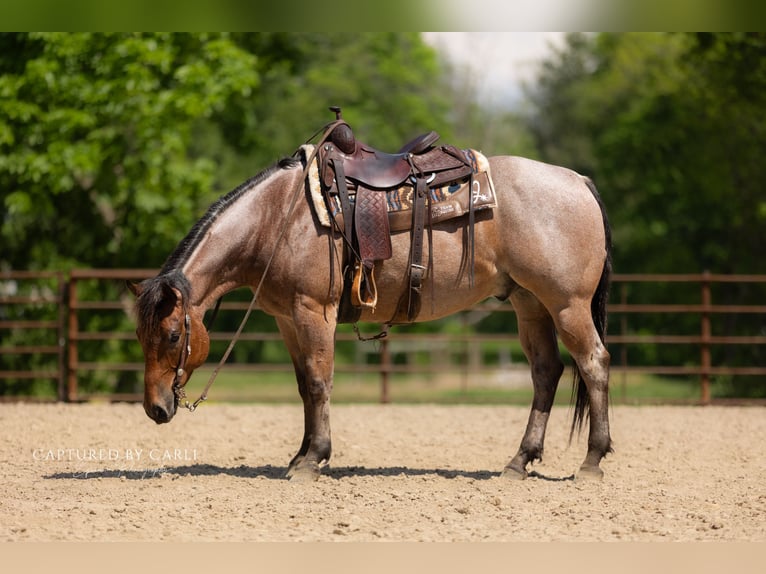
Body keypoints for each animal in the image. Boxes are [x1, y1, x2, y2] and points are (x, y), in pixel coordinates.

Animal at [129, 142, 613, 483]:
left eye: (172, 336)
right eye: (140, 338)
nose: (155, 409)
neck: (275, 219)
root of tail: (578, 181)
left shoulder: (314, 311)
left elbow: (320, 383)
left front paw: (314, 460)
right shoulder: (287, 320)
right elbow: (304, 387)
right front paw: (299, 456)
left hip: (567, 305)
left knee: (593, 364)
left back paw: (591, 461)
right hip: (529, 304)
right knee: (546, 372)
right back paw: (519, 462)